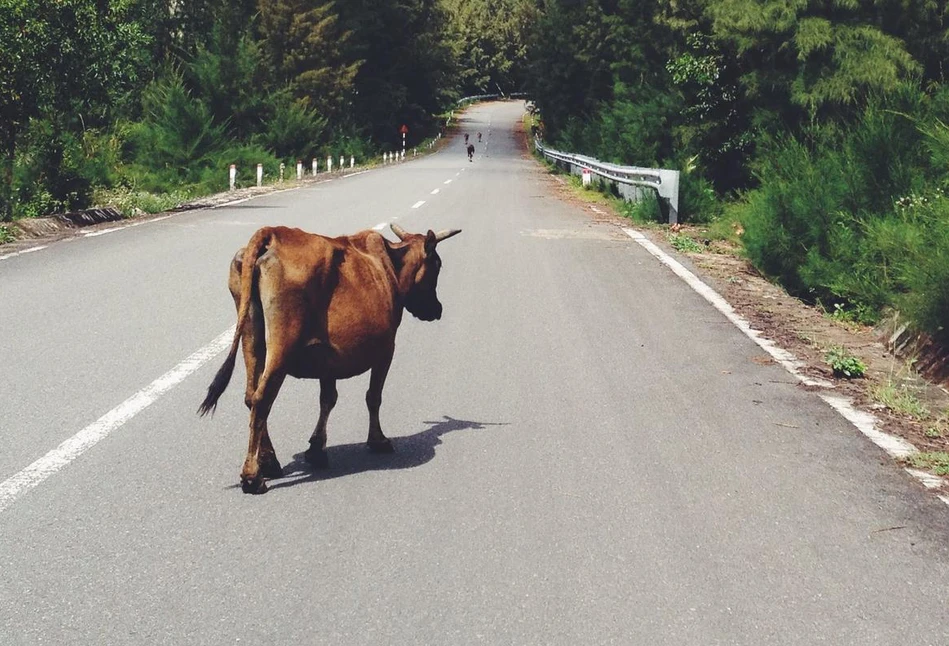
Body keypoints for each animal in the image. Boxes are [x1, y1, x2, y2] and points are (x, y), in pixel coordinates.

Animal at [200, 224, 462, 496]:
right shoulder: (386, 348)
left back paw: (269, 461)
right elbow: (373, 397)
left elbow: (328, 399)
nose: (437, 309)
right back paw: (252, 476)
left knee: (251, 396)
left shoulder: (327, 358)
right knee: (262, 399)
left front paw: (316, 450)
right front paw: (377, 440)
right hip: (282, 343)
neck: (391, 265)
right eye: (437, 265)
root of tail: (272, 234)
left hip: (251, 335)